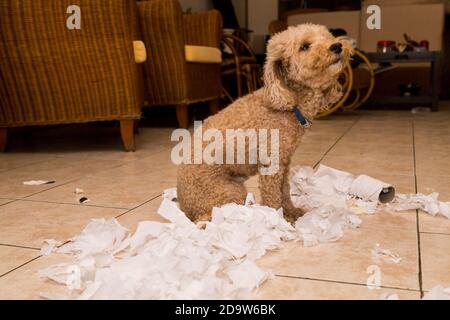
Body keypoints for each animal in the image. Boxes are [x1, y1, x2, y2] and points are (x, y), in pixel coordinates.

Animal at [178, 23, 354, 222]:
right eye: (304, 46)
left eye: (327, 36)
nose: (337, 46)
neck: (289, 102)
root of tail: (186, 209)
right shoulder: (271, 165)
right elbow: (273, 197)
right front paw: (278, 219)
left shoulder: (284, 163)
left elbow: (284, 191)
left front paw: (291, 212)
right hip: (230, 192)